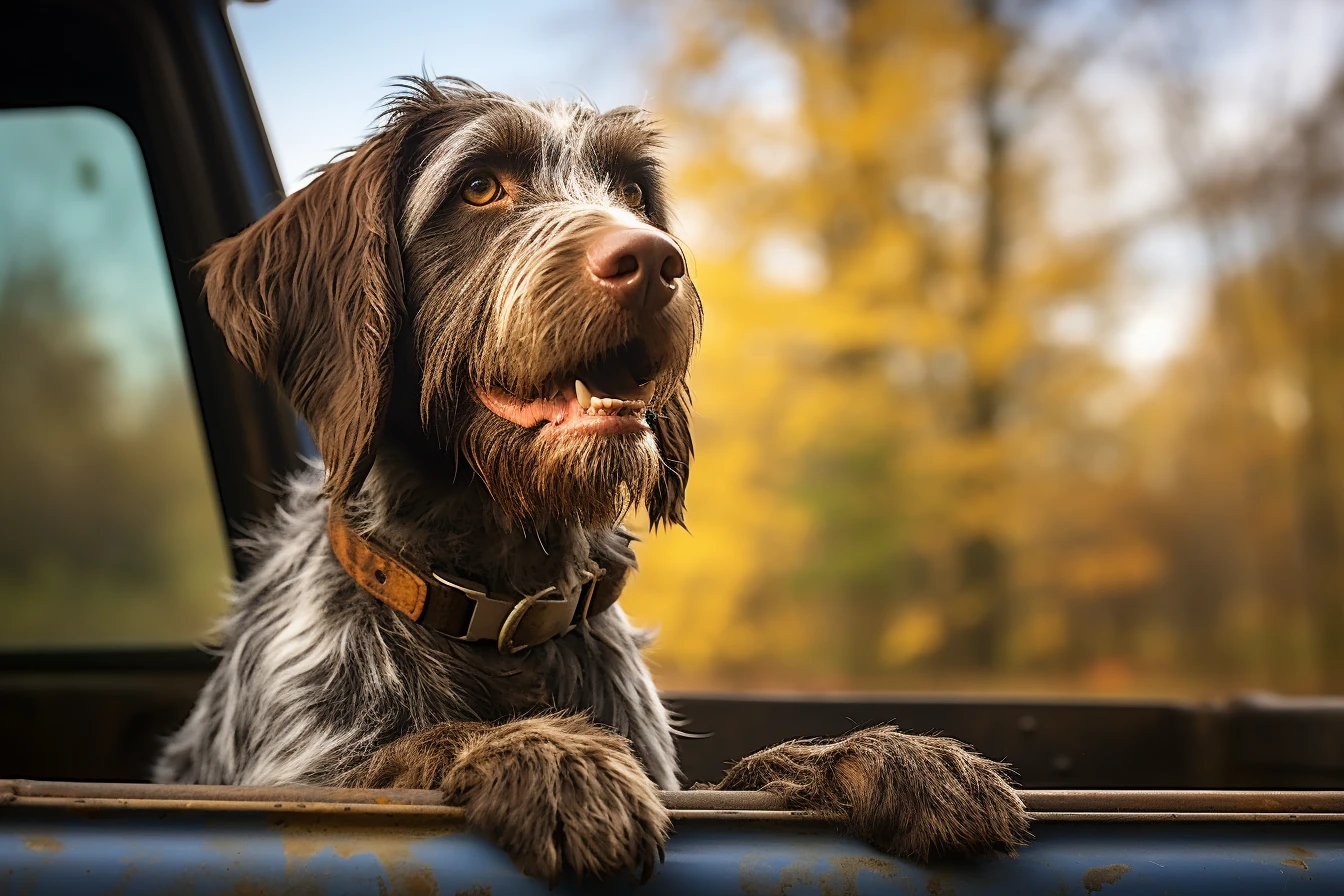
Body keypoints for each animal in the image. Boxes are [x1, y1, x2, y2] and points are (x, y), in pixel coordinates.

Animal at [157, 77, 1032, 881]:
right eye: (480, 186)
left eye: (634, 191)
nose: (650, 261)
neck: (499, 599)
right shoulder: (302, 775)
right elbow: (406, 751)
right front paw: (553, 754)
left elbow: (747, 775)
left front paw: (894, 756)